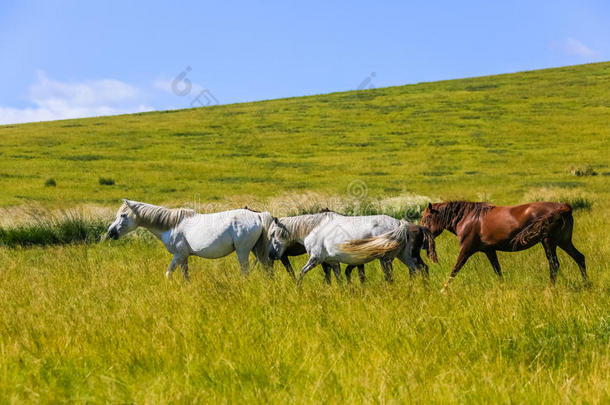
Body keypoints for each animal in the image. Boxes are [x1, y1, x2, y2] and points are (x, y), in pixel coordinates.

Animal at [107, 199, 270, 278]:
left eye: (123, 215)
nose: (111, 233)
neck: (172, 225)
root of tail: (257, 215)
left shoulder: (179, 255)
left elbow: (168, 274)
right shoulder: (184, 257)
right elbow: (185, 276)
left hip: (243, 251)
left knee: (246, 272)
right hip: (256, 250)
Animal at [420, 201, 588, 290]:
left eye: (426, 218)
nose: (423, 242)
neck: (467, 218)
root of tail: (564, 207)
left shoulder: (466, 250)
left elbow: (455, 269)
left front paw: (443, 289)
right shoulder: (489, 251)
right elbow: (498, 271)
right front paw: (503, 287)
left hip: (549, 241)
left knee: (554, 264)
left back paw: (550, 288)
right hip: (563, 242)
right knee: (579, 258)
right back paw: (587, 285)